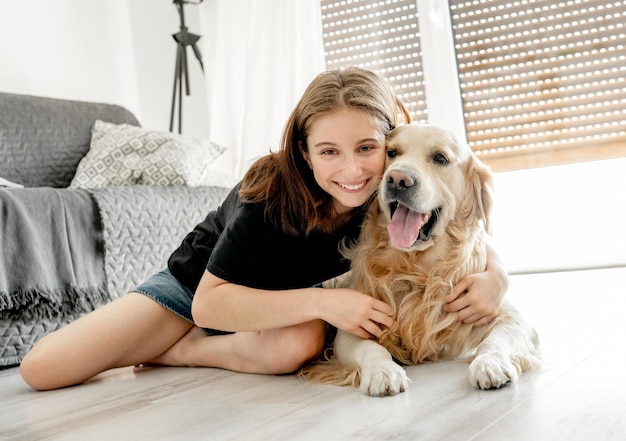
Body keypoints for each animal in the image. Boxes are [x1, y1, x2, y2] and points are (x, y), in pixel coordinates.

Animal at [300, 123, 540, 396]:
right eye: (392, 153)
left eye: (440, 158)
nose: (397, 179)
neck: (417, 269)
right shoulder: (355, 324)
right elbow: (371, 348)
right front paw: (383, 371)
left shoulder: (507, 316)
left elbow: (495, 340)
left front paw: (491, 363)